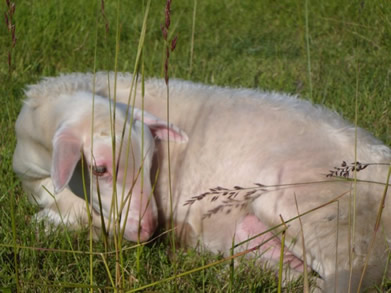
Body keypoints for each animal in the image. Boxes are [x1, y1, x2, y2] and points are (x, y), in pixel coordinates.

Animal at [13, 71, 391, 292]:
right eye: (100, 169)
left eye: (152, 158)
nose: (150, 228)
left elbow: (53, 222)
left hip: (316, 214)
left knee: (337, 280)